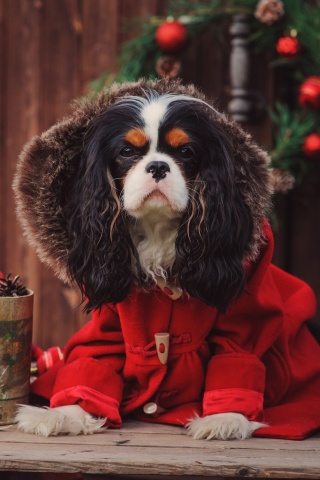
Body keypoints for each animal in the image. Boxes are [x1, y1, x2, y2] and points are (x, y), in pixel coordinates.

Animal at [12, 78, 320, 438]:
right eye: (127, 151)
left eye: (185, 152)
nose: (158, 166)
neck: (158, 229)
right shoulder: (110, 320)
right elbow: (94, 358)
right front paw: (66, 412)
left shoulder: (246, 312)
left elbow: (238, 352)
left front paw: (225, 417)